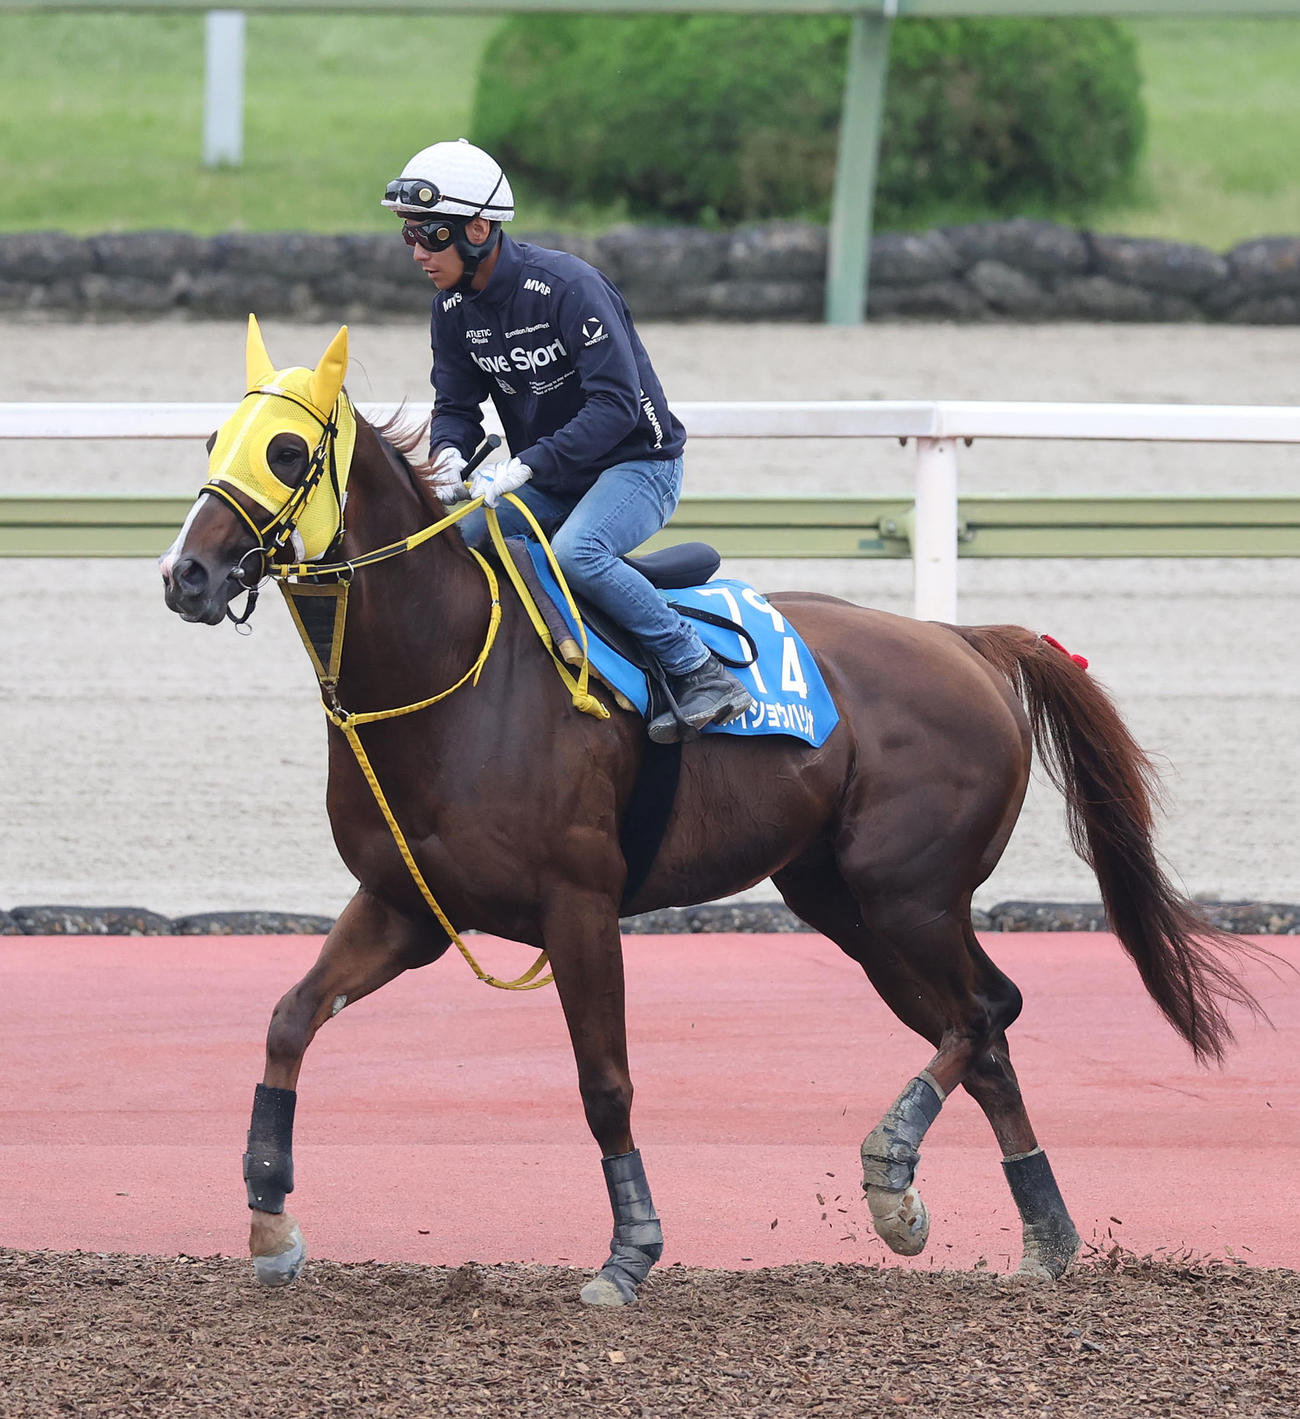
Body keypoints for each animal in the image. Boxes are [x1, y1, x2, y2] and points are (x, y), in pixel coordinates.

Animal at [161, 318, 1261, 1303]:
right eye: (212, 441)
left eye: (288, 450)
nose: (186, 573)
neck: (448, 673)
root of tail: (965, 642)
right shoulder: (406, 906)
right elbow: (288, 1021)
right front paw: (269, 1223)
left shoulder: (579, 907)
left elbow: (604, 1082)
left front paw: (629, 1254)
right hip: (846, 903)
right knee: (981, 1033)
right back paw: (1039, 1233)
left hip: (906, 893)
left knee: (987, 1010)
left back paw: (893, 1171)